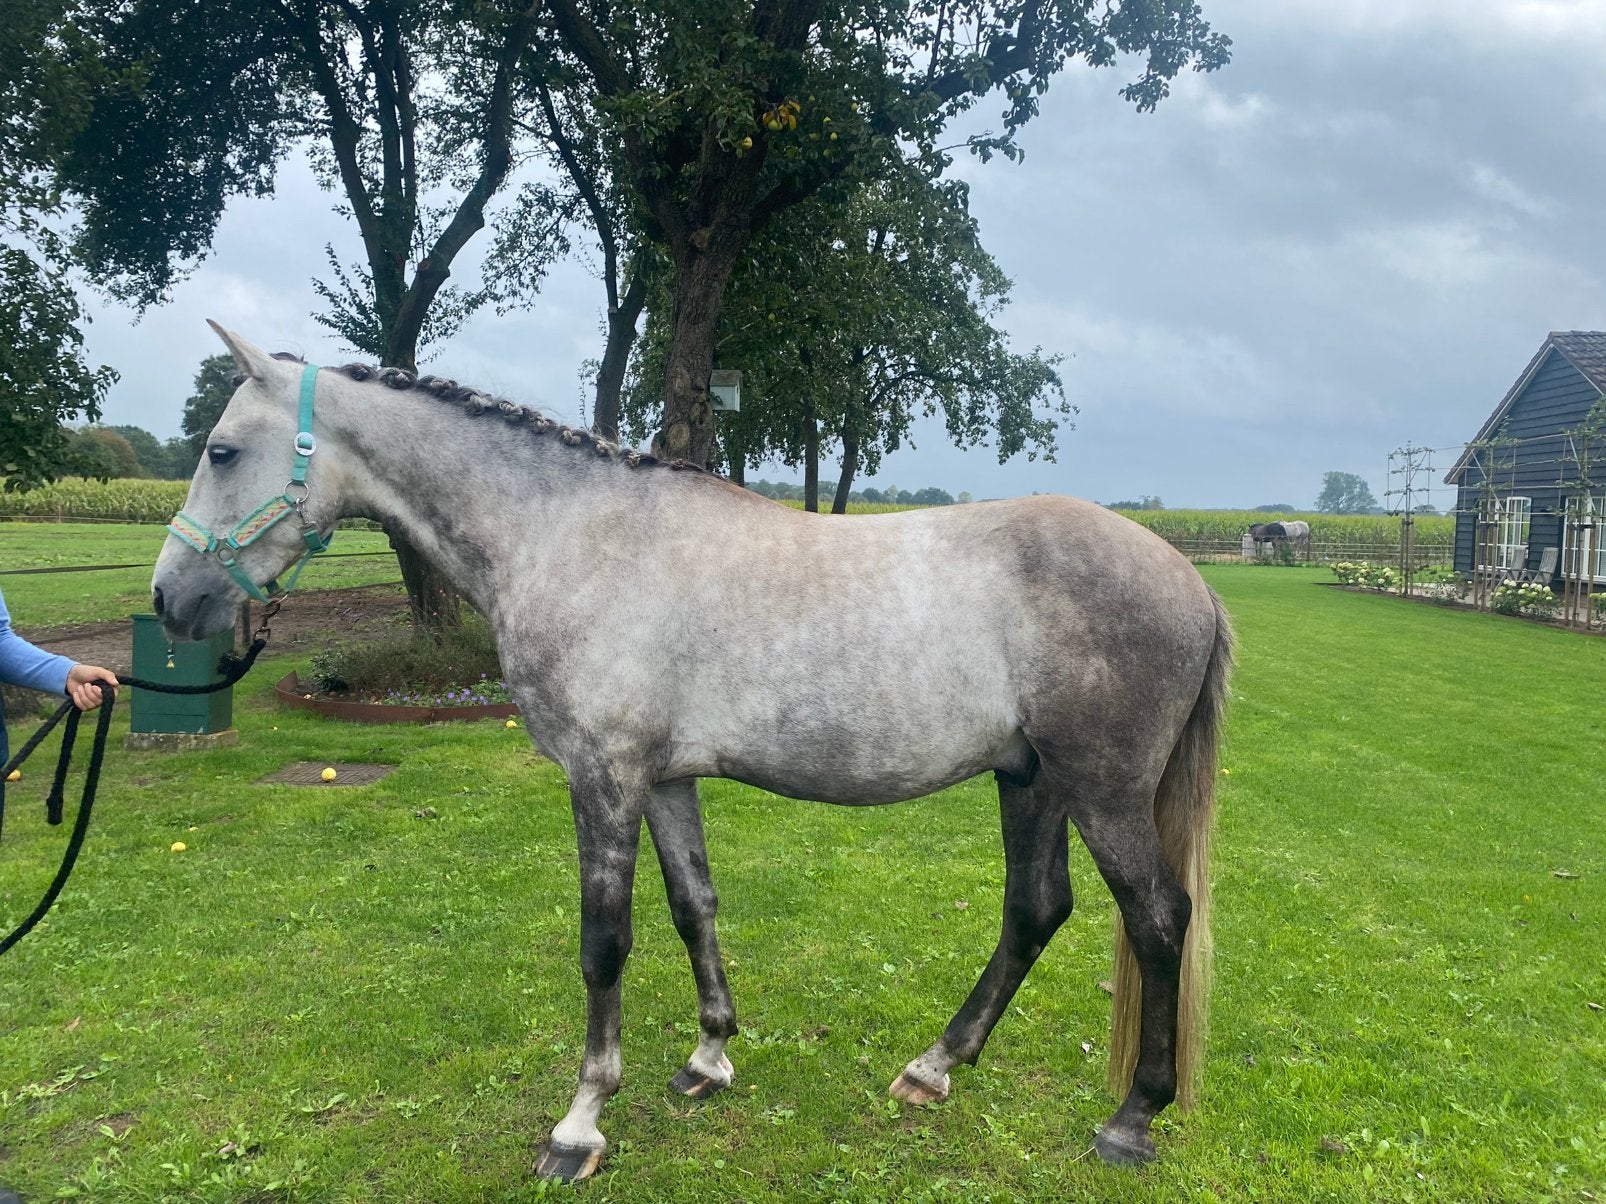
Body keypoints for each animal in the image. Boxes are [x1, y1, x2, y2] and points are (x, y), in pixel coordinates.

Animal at [152, 325, 1234, 1182]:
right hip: (1030, 780)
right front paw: (708, 1060)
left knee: (1156, 920)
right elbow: (692, 907)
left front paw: (579, 1125)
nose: (171, 597)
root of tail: (1188, 578)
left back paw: (1131, 1119)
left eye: (221, 448)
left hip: (1101, 790)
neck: (576, 537)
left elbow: (605, 942)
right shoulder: (665, 779)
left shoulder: (604, 779)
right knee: (1034, 911)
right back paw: (932, 1067)